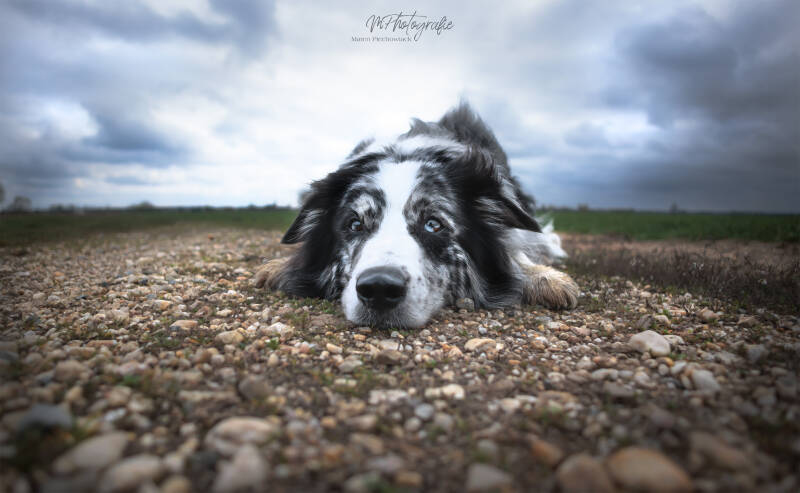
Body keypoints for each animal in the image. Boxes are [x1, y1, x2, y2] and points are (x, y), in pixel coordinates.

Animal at [256, 103, 578, 328]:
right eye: (355, 224)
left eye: (433, 224)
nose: (380, 288)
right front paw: (277, 266)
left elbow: (514, 251)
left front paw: (544, 277)